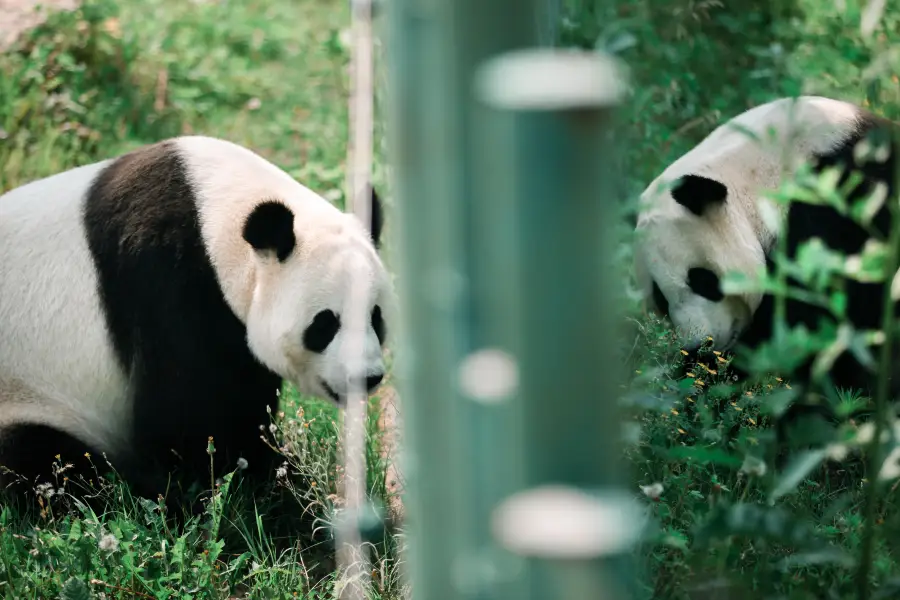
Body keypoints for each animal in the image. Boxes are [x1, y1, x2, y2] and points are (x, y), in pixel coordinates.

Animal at [0, 135, 390, 502]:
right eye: (325, 324)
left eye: (376, 317)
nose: (368, 377)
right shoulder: (166, 281)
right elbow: (187, 419)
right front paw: (248, 483)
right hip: (31, 394)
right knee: (39, 458)